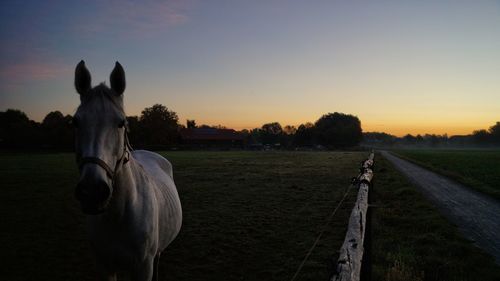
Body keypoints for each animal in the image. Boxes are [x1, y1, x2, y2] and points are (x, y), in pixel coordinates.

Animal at [73, 61, 183, 280]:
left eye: (121, 122)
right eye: (76, 122)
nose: (92, 191)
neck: (117, 216)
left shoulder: (143, 267)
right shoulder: (105, 267)